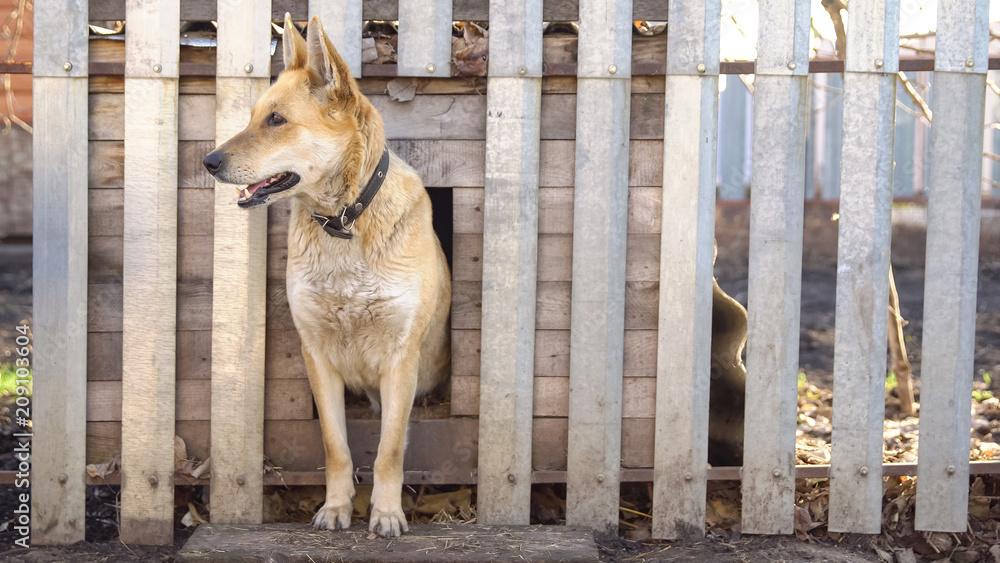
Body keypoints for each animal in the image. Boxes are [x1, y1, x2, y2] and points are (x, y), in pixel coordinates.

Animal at [202, 15, 450, 540]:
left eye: (276, 121)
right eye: (253, 116)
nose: (207, 162)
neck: (343, 222)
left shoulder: (401, 359)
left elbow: (389, 450)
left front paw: (386, 513)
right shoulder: (316, 354)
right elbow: (336, 446)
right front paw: (337, 508)